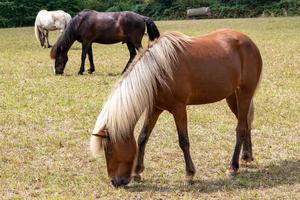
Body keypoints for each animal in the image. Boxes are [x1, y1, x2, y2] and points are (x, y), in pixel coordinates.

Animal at [89, 29, 262, 188]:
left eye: (109, 150)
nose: (115, 182)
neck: (157, 71)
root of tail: (249, 41)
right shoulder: (154, 108)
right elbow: (143, 137)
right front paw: (138, 171)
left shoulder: (179, 108)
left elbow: (183, 141)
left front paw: (189, 174)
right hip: (232, 96)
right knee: (245, 123)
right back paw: (246, 157)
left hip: (245, 93)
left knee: (240, 128)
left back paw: (233, 167)